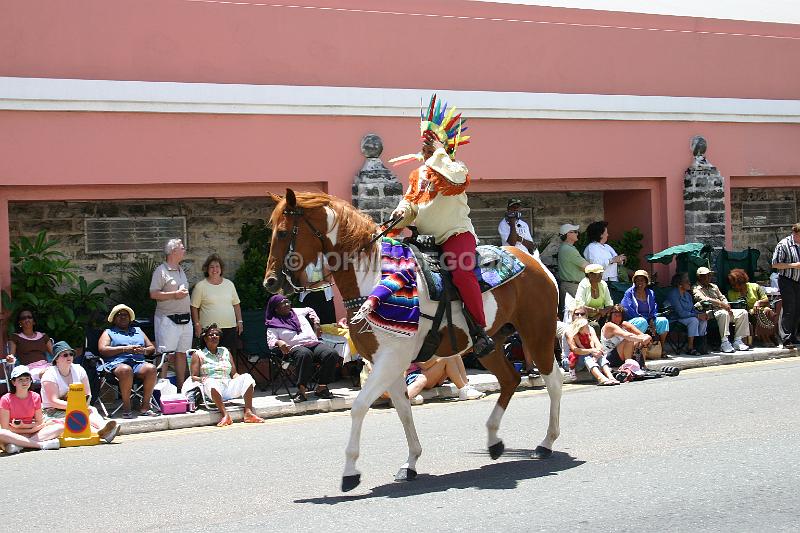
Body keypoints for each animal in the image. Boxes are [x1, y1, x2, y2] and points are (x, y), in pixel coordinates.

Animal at [266, 189, 560, 492]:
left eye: (283, 232)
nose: (270, 282)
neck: (373, 278)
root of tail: (535, 263)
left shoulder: (390, 360)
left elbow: (359, 407)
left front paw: (350, 472)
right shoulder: (388, 364)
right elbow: (403, 409)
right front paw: (410, 463)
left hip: (538, 332)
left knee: (554, 381)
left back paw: (546, 442)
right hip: (492, 343)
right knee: (510, 379)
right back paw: (494, 440)